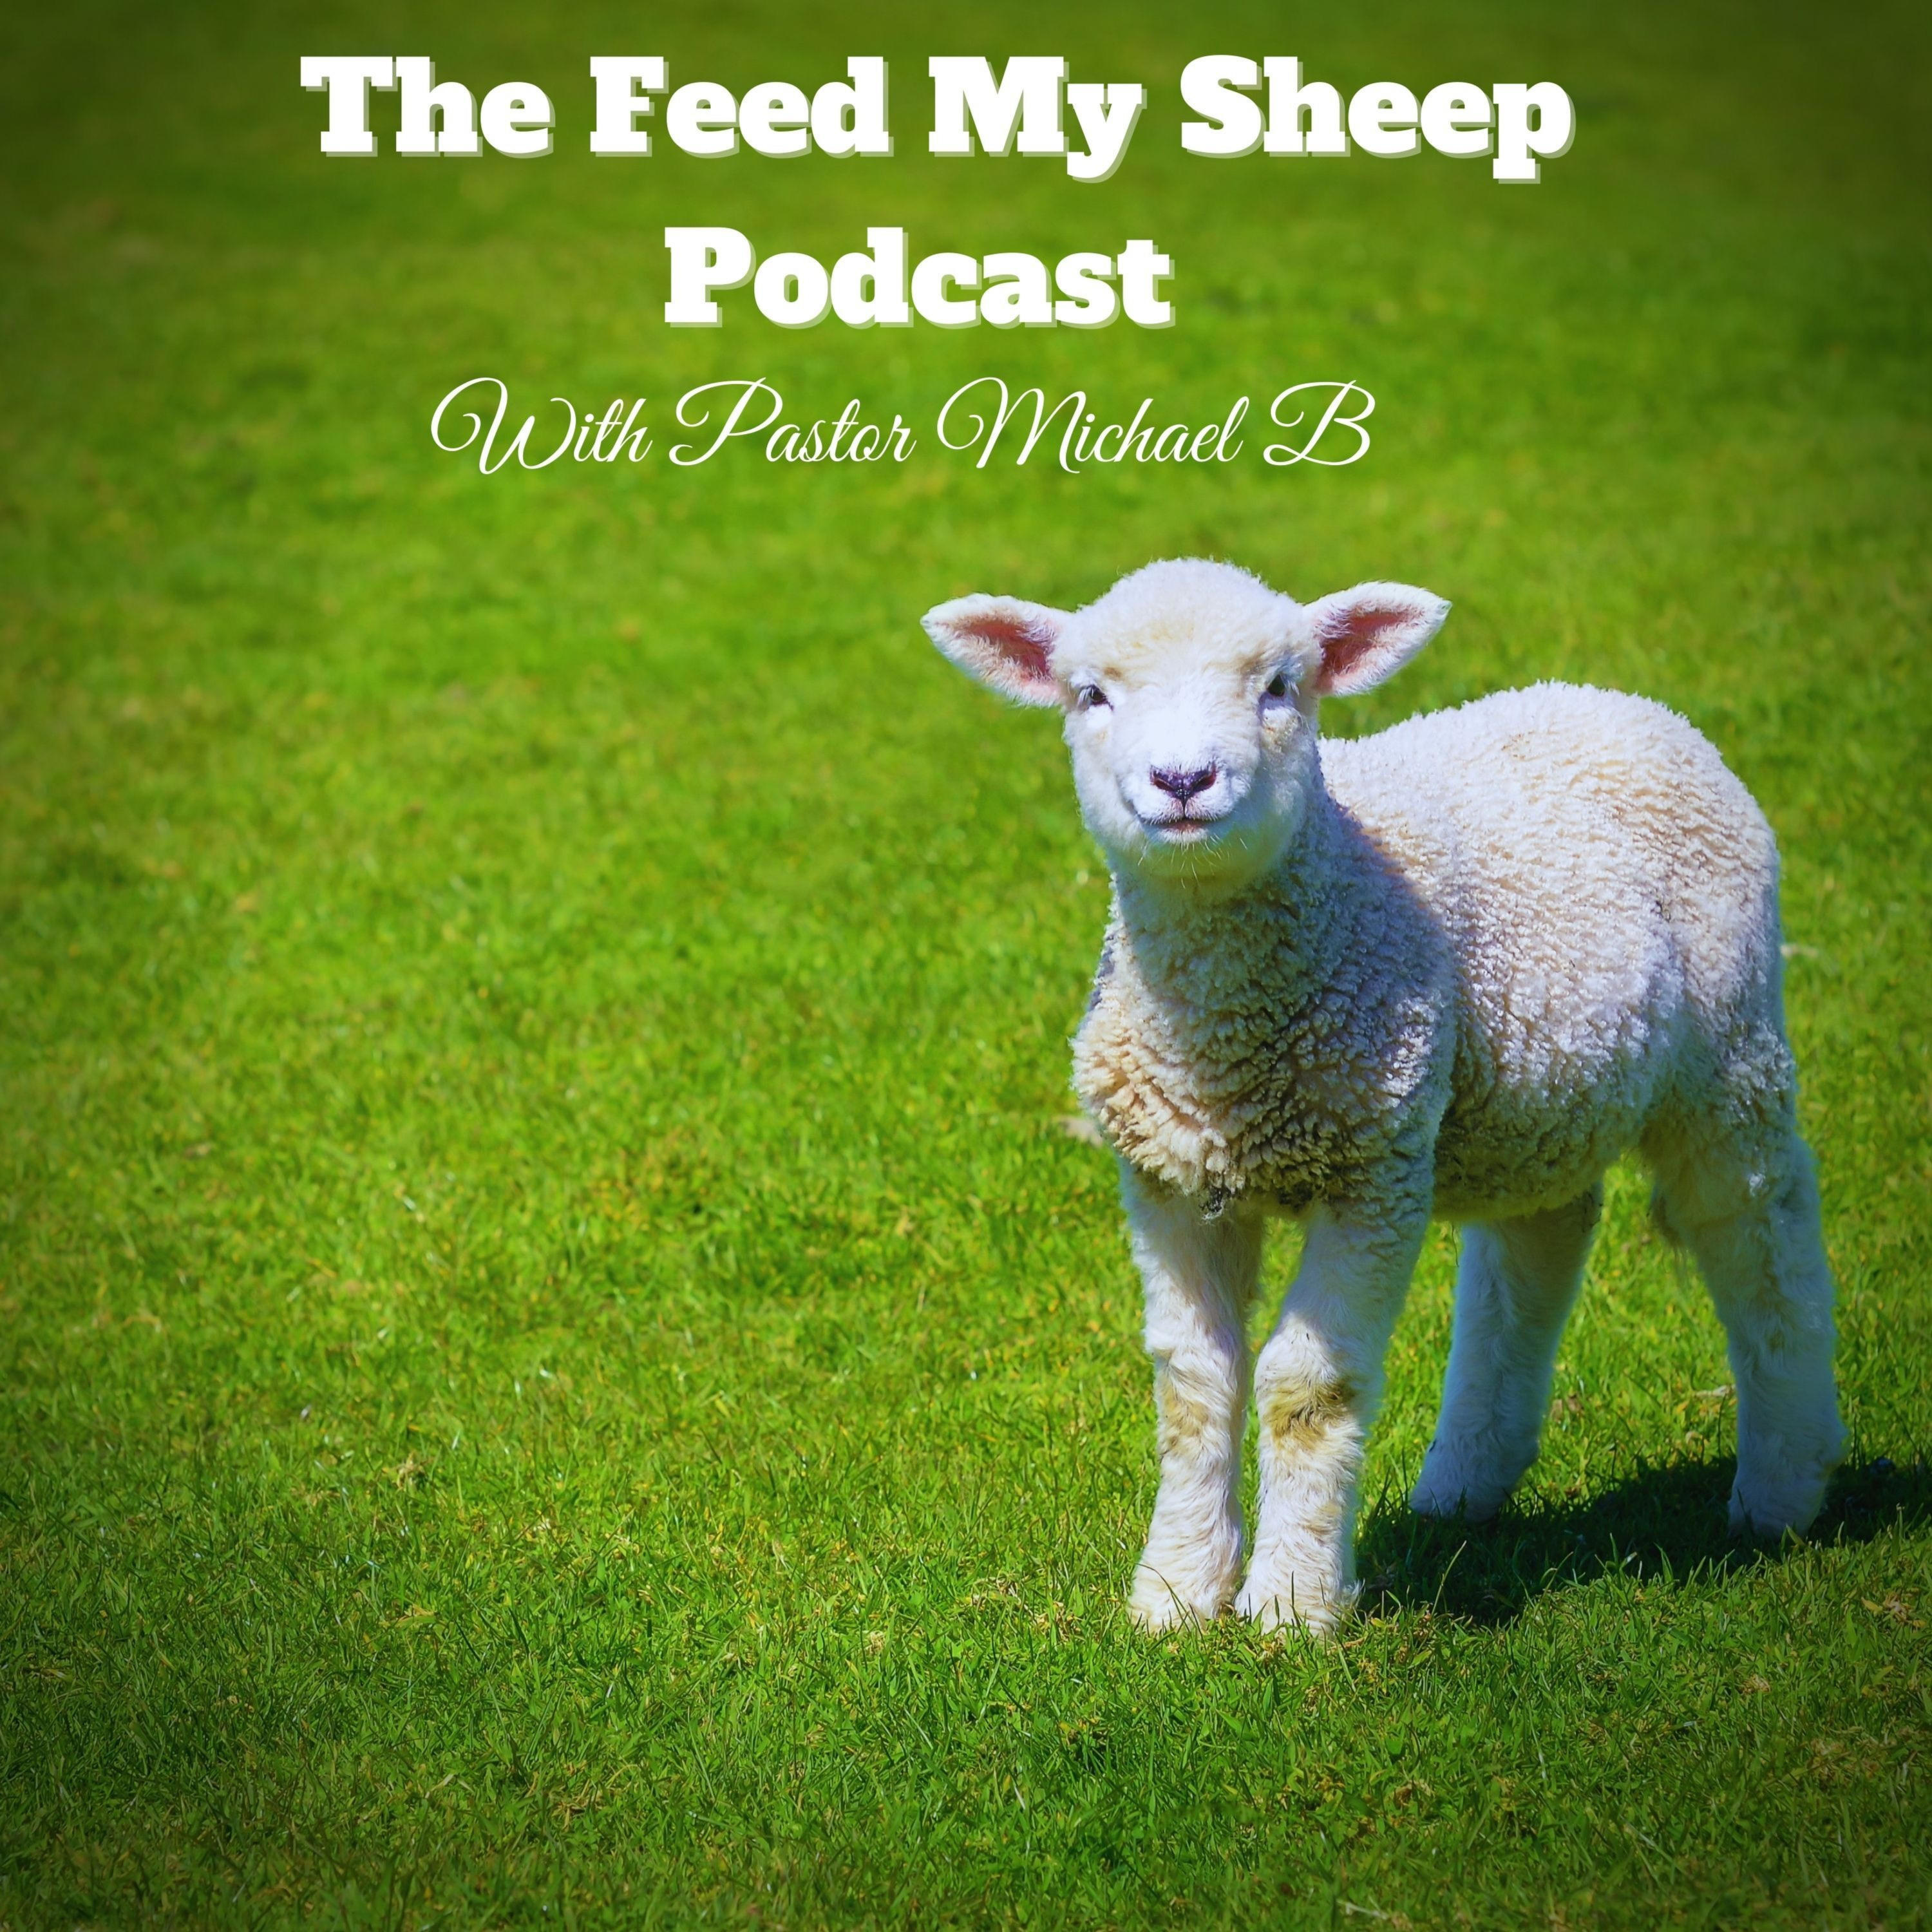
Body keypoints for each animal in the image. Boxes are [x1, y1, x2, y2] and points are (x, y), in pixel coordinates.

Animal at [922, 557, 1843, 1635]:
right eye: (1090, 695)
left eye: (1282, 686)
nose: (1184, 782)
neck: (1231, 1048)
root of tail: (1618, 700)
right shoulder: (1168, 1177)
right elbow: (1192, 1383)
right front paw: (1176, 1593)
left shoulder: (1374, 1168)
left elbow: (1305, 1387)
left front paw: (1289, 1606)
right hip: (1531, 1093)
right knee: (1539, 1242)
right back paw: (1466, 1481)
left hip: (1729, 1046)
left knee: (1758, 1232)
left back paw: (1782, 1488)